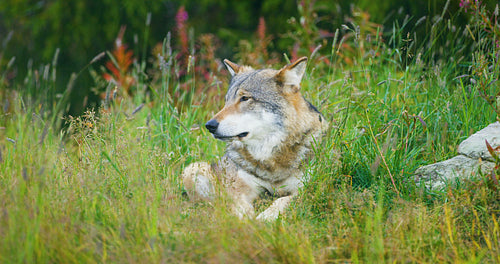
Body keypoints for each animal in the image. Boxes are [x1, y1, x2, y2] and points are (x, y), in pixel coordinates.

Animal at [182, 57, 326, 221]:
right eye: (226, 101)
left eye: (245, 98)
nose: (209, 125)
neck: (270, 157)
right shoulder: (237, 188)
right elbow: (239, 205)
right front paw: (247, 220)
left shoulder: (306, 188)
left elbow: (283, 200)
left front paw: (266, 216)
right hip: (194, 169)